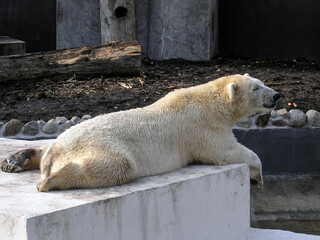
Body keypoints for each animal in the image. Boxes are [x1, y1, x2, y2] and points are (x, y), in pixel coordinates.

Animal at [0, 73, 280, 191]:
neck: (209, 101)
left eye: (262, 82)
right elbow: (228, 150)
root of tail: (57, 152)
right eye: (256, 88)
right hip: (99, 145)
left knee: (49, 143)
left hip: (64, 139)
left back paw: (16, 160)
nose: (277, 95)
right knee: (116, 166)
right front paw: (257, 179)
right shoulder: (201, 127)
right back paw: (51, 180)